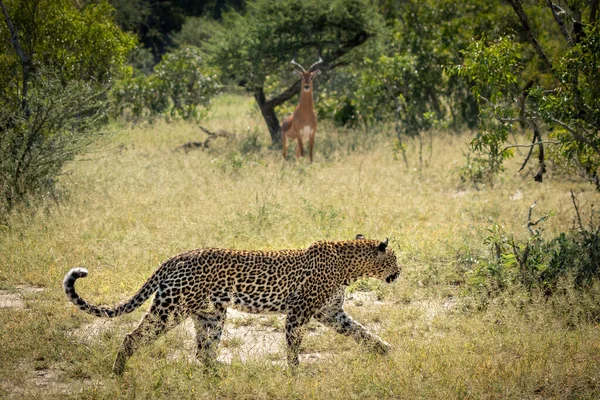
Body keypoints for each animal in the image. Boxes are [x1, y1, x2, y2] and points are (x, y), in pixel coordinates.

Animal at [63, 234, 400, 376]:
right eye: (395, 258)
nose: (399, 273)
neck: (350, 266)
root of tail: (176, 257)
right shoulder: (298, 313)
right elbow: (293, 346)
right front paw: (295, 374)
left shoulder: (331, 313)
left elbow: (362, 332)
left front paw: (386, 351)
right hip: (170, 309)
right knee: (133, 336)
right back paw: (118, 372)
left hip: (211, 315)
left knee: (203, 351)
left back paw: (220, 374)